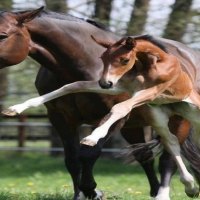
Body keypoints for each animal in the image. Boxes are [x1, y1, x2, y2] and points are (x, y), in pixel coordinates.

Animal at [0, 6, 198, 200]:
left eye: (3, 35)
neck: (81, 63)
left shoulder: (115, 118)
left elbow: (89, 153)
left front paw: (92, 191)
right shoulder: (60, 118)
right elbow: (72, 159)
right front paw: (79, 195)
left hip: (178, 120)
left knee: (169, 156)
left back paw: (177, 190)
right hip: (138, 125)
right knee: (146, 154)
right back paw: (158, 190)